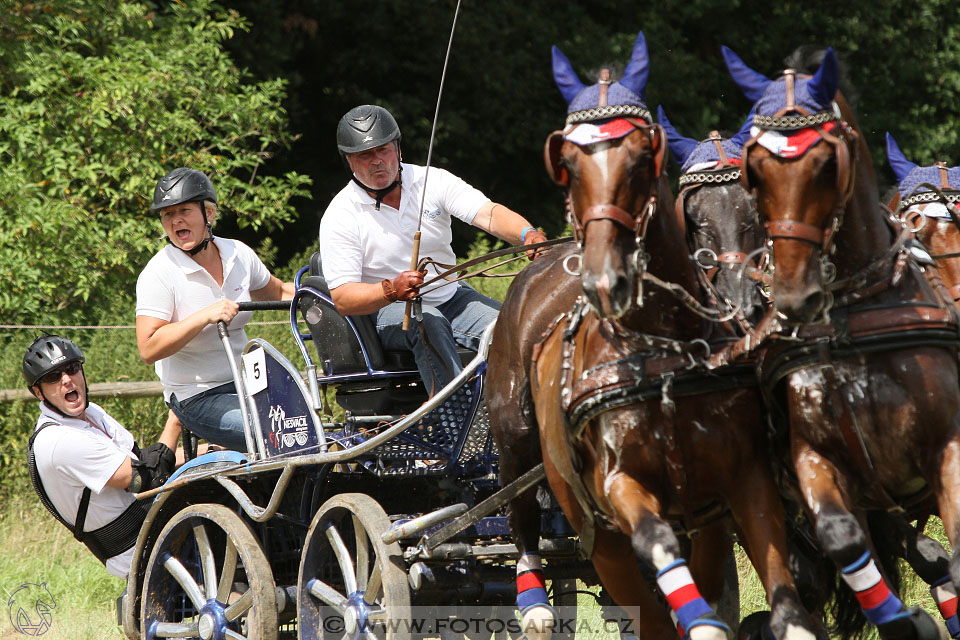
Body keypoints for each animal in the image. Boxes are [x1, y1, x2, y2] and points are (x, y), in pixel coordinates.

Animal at [492, 32, 820, 640]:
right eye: (696, 215)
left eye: (753, 200)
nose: (605, 277)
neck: (662, 352)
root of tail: (540, 265)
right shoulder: (624, 493)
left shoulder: (740, 488)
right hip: (521, 440)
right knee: (522, 508)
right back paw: (533, 601)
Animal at [724, 46, 960, 640]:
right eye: (755, 173)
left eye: (827, 165)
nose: (794, 291)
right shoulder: (816, 461)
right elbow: (843, 538)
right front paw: (910, 621)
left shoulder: (945, 448)